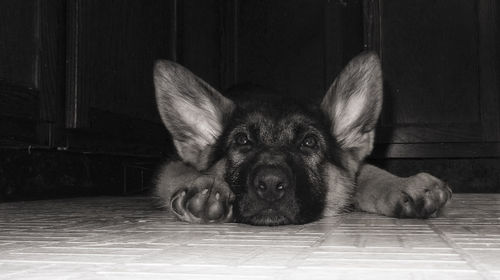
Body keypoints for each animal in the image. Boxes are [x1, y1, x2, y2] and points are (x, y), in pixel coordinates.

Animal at [154, 50, 452, 225]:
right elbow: (181, 172)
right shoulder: (171, 165)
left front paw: (403, 184)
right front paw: (206, 186)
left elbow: (367, 171)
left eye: (309, 143)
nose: (270, 184)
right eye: (242, 141)